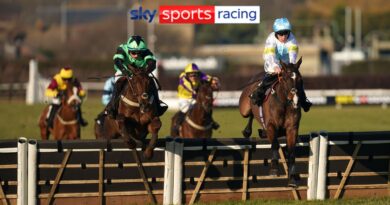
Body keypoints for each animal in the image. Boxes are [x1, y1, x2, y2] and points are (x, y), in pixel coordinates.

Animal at [238, 57, 304, 187]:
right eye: (285, 78)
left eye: (299, 78)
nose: (295, 99)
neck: (284, 104)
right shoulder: (271, 125)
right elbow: (274, 144)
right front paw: (274, 169)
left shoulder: (292, 128)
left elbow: (291, 151)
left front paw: (292, 179)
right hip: (244, 109)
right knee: (250, 114)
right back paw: (247, 131)